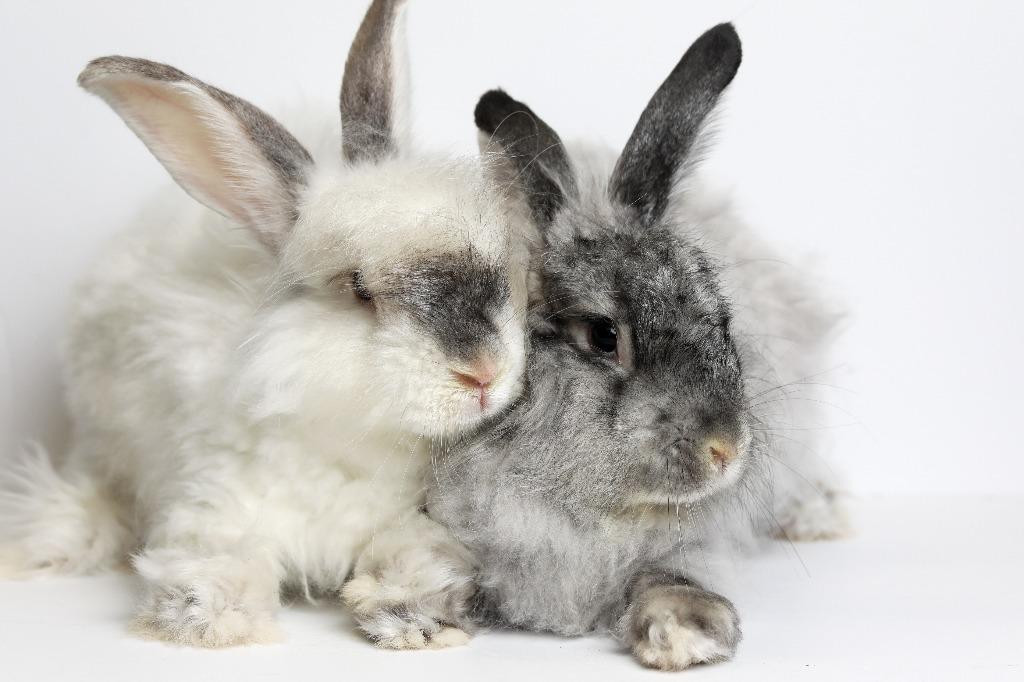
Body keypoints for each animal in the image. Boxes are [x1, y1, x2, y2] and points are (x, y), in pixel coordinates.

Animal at [0, 0, 533, 648]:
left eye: (501, 263)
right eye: (357, 289)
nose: (483, 373)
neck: (344, 443)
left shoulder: (410, 519)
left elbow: (415, 555)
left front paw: (412, 616)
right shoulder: (214, 506)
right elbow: (221, 557)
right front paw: (207, 617)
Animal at [343, 21, 848, 668]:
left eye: (723, 322)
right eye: (604, 337)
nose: (725, 448)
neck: (585, 513)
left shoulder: (685, 546)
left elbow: (668, 575)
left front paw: (687, 634)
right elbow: (433, 557)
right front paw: (408, 617)